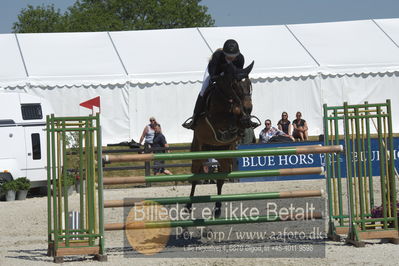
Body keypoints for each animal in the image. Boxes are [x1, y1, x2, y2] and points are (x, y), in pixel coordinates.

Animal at [188, 60, 260, 218]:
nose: (249, 108)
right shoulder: (215, 118)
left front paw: (245, 121)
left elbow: (239, 119)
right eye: (235, 85)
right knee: (195, 178)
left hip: (224, 157)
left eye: (250, 84)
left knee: (220, 181)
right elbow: (231, 115)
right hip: (198, 152)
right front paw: (236, 119)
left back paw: (218, 209)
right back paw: (188, 206)